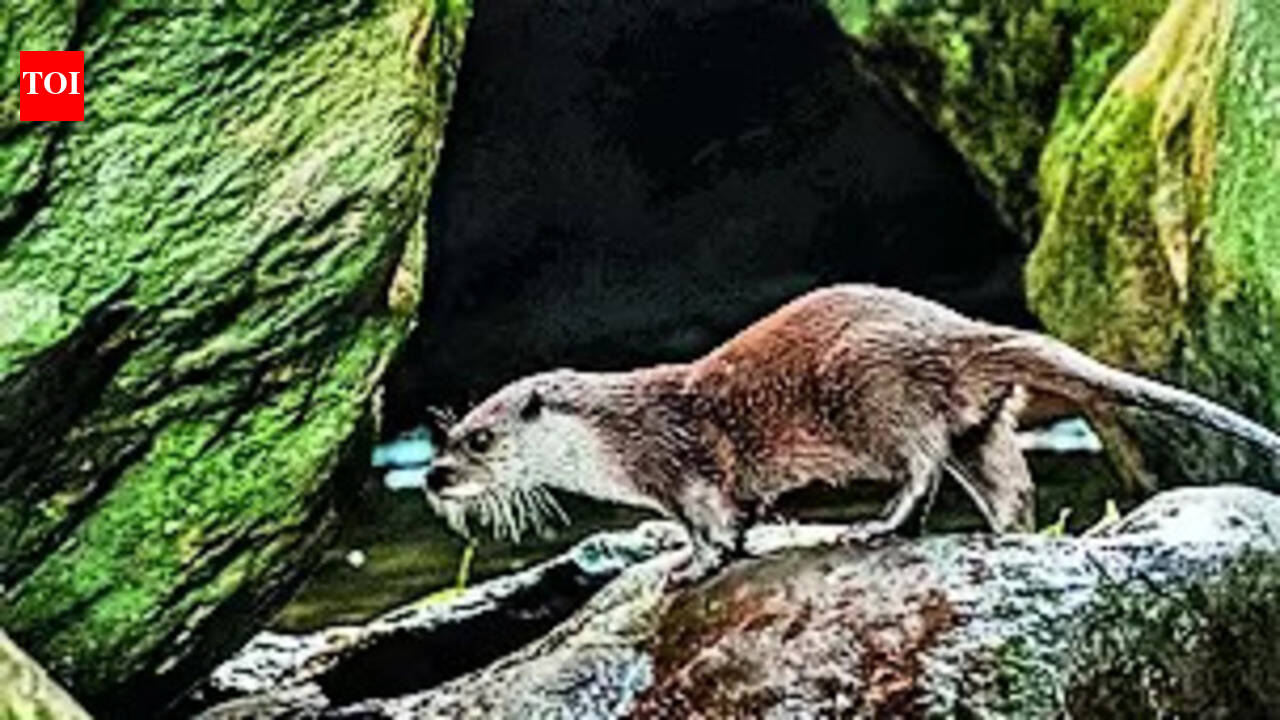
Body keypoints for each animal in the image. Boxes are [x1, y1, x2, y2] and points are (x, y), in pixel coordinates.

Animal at [424, 285, 1280, 584]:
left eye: (477, 440)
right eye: (449, 433)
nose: (433, 476)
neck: (618, 434)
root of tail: (957, 330)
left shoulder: (682, 462)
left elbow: (713, 524)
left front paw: (689, 568)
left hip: (875, 386)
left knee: (921, 464)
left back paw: (874, 527)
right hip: (981, 421)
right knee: (1005, 477)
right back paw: (1012, 537)